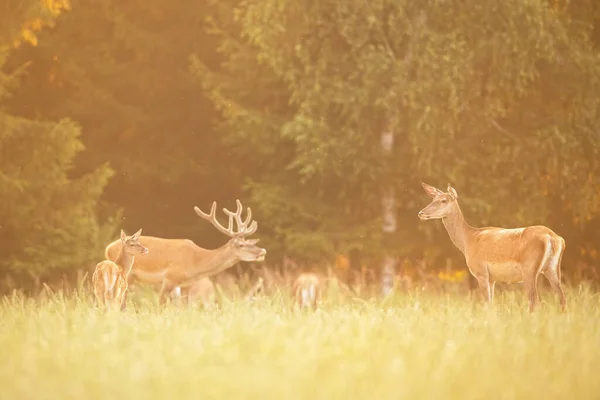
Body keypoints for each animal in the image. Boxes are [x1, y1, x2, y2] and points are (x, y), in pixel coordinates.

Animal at [105, 200, 268, 306]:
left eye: (251, 243)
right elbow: (160, 305)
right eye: (241, 245)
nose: (262, 251)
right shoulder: (169, 278)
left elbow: (185, 307)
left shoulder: (186, 285)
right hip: (127, 275)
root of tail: (108, 248)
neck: (196, 263)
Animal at [420, 182, 564, 312]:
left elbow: (487, 305)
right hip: (552, 268)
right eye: (432, 199)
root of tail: (553, 237)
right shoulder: (492, 279)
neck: (468, 241)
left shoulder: (481, 272)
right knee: (562, 299)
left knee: (535, 301)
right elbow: (491, 303)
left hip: (529, 269)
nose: (421, 213)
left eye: (443, 200)